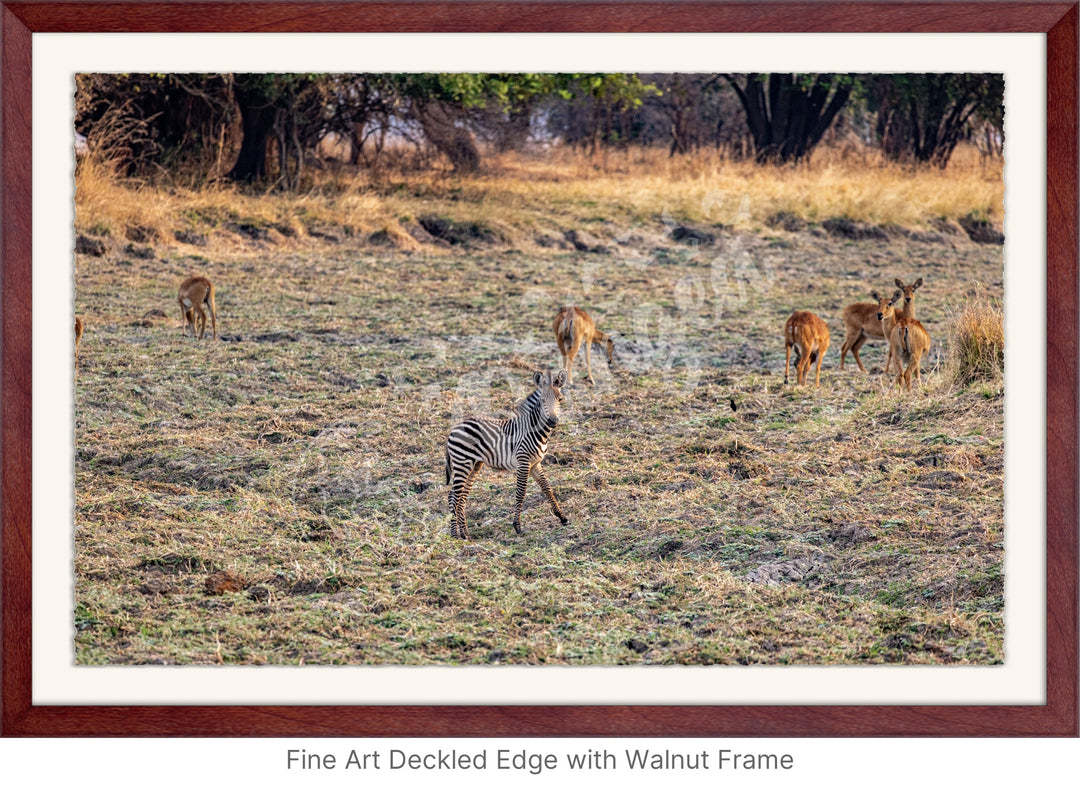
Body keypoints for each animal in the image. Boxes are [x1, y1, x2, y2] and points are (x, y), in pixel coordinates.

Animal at [442, 369, 570, 540]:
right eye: (542, 400)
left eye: (560, 399)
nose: (552, 421)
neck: (534, 431)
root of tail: (455, 428)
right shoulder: (523, 463)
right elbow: (521, 493)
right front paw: (517, 526)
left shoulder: (535, 464)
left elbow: (547, 488)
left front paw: (562, 517)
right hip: (462, 462)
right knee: (453, 495)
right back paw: (454, 534)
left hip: (474, 465)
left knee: (461, 496)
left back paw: (465, 534)